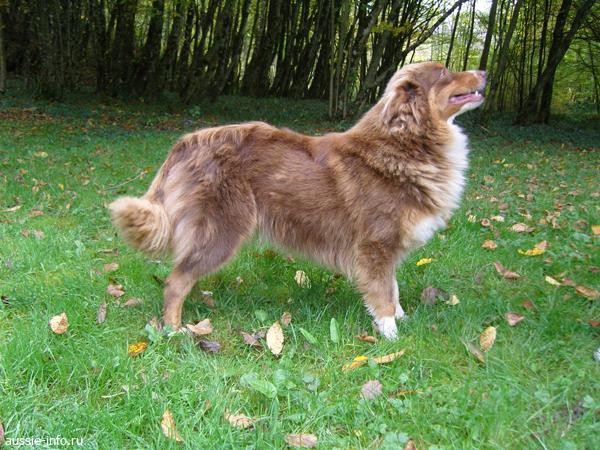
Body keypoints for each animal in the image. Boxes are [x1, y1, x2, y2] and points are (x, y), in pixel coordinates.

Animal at [110, 61, 485, 339]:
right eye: (444, 73)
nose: (483, 72)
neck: (406, 141)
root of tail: (188, 141)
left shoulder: (386, 248)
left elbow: (392, 288)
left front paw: (402, 318)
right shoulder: (376, 245)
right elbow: (382, 294)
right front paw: (391, 335)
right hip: (222, 230)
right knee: (175, 281)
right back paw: (174, 330)